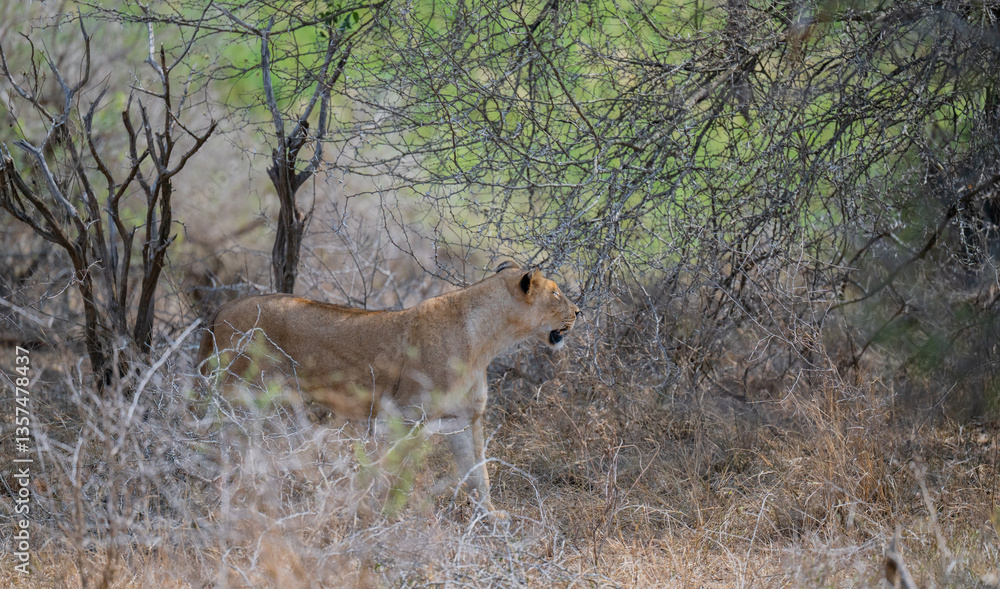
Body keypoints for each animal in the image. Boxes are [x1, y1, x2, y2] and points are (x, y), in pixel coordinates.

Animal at [197, 262, 580, 515]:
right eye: (556, 292)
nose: (578, 311)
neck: (486, 340)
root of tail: (224, 306)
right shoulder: (403, 416)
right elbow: (397, 472)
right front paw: (391, 514)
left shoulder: (465, 419)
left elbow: (478, 471)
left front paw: (491, 515)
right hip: (241, 397)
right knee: (224, 442)